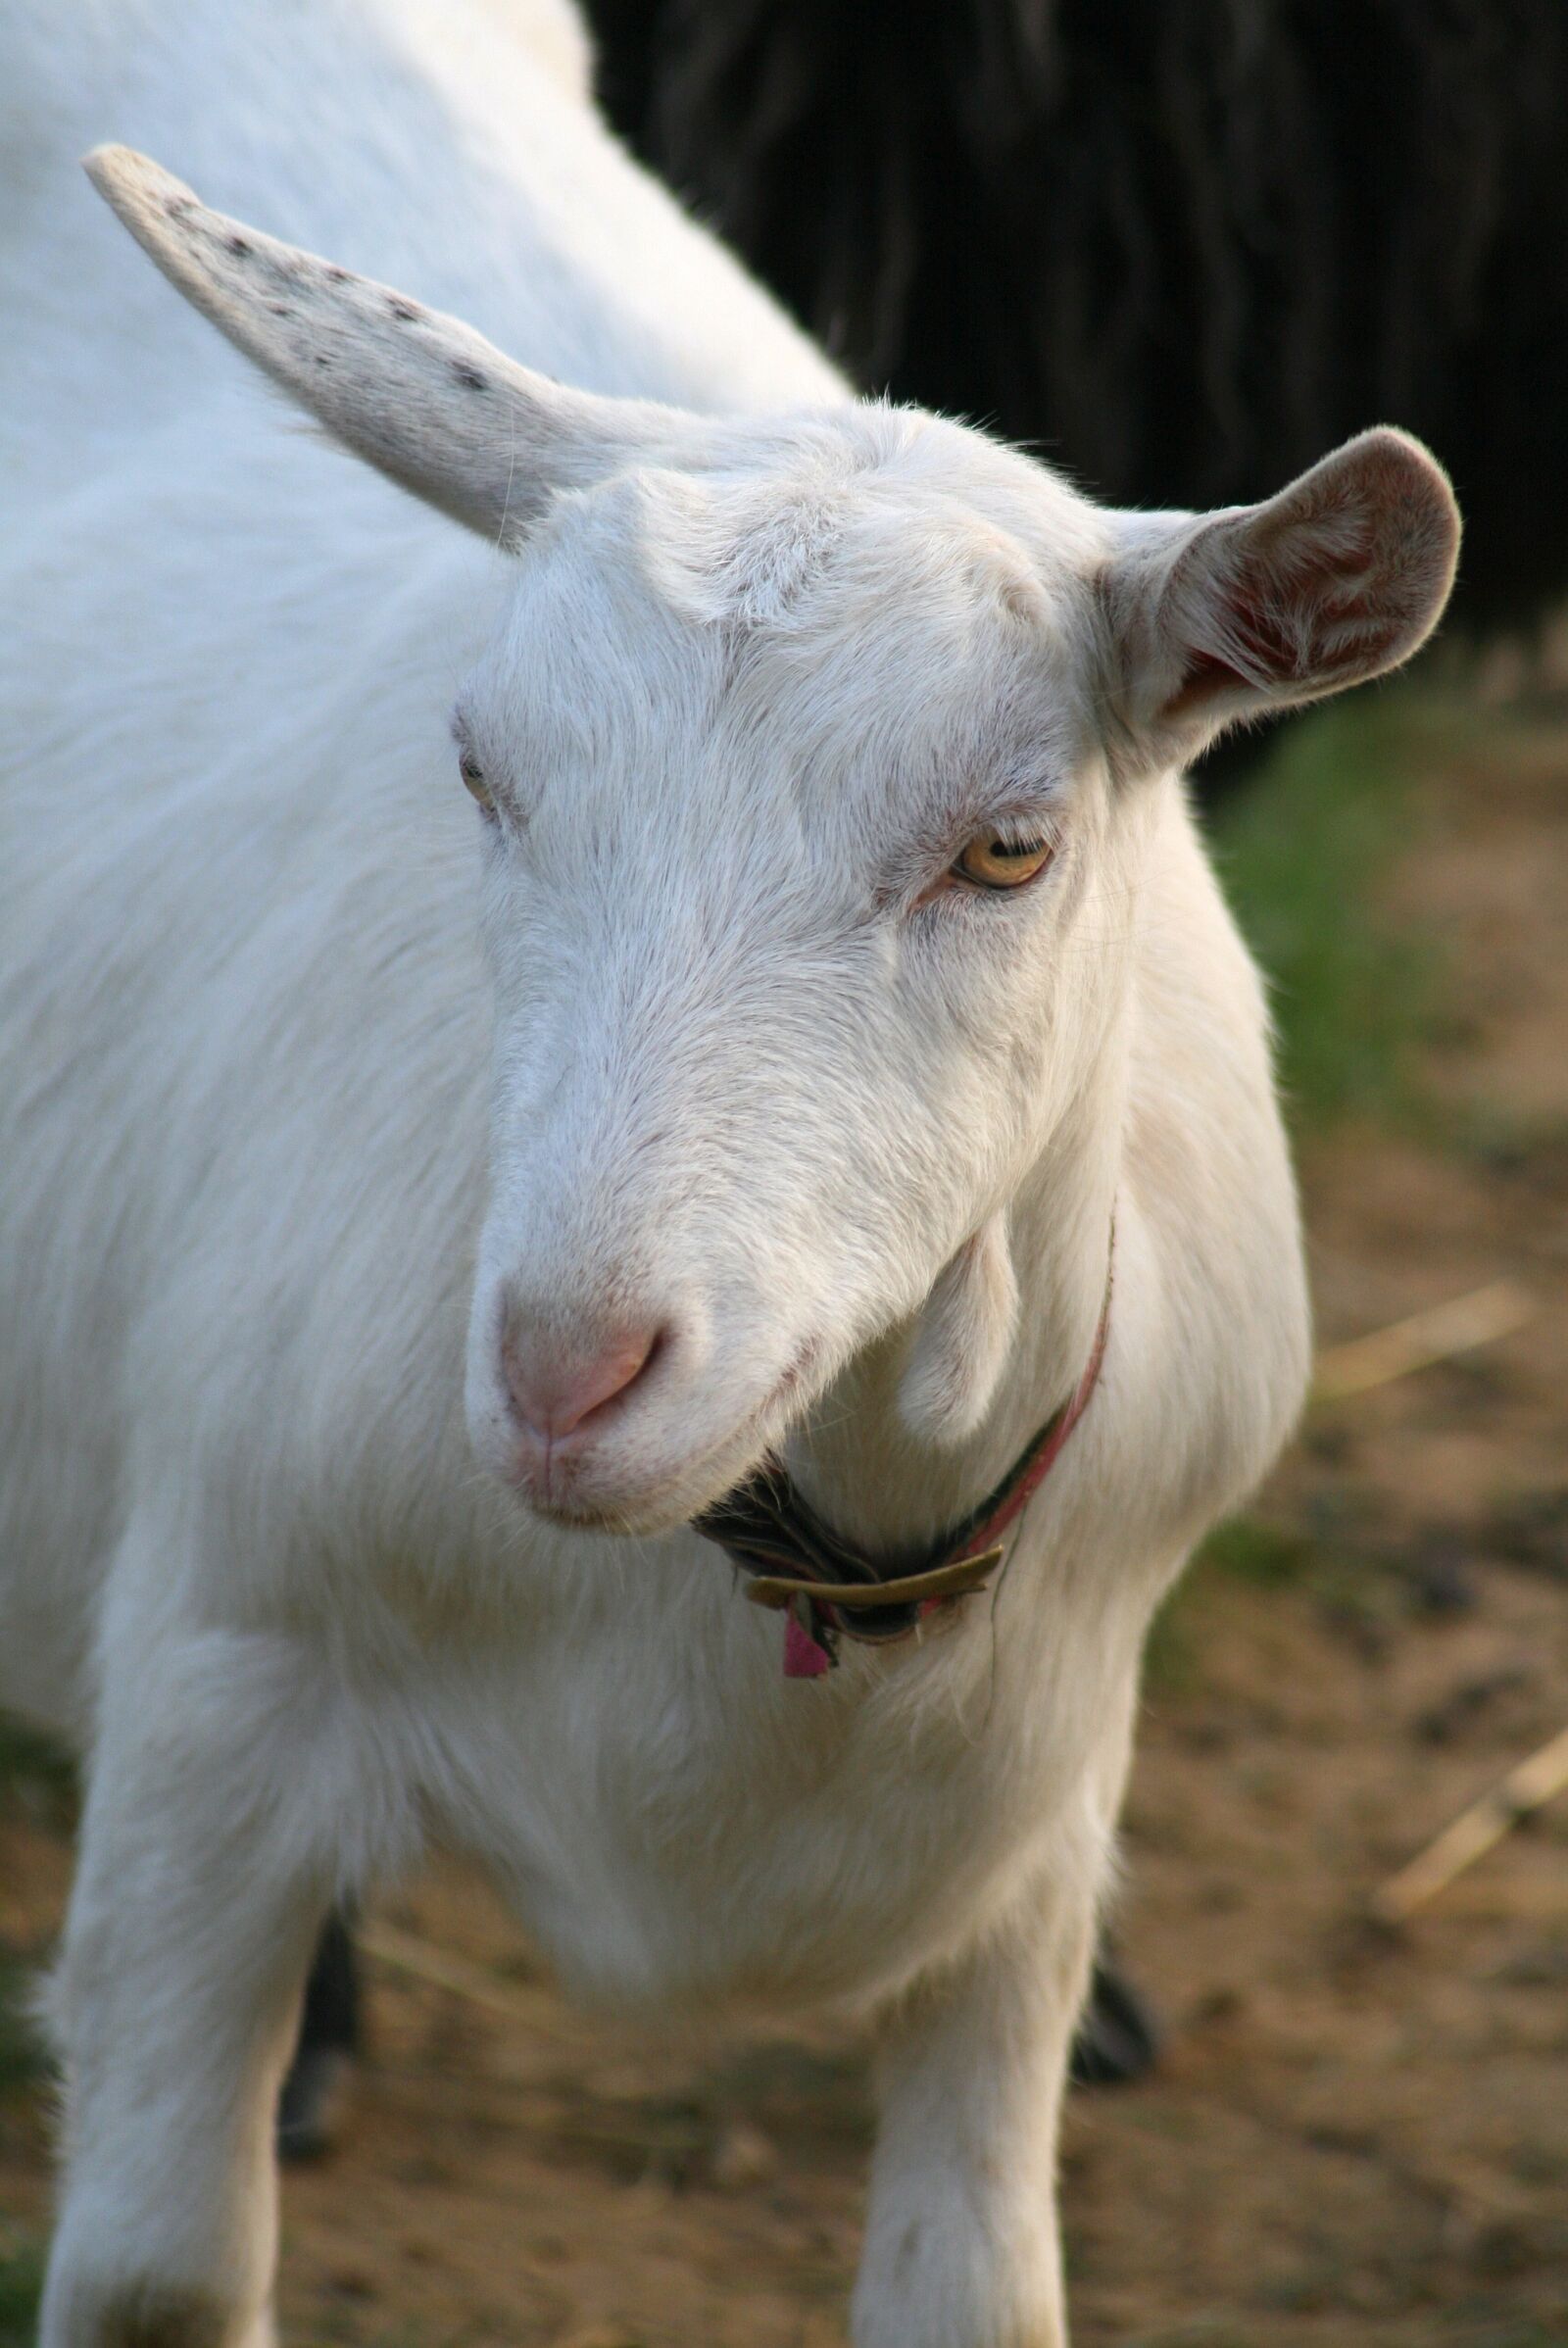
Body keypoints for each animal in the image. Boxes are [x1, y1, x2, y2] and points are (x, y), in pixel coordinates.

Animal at [0, 3, 1457, 2342]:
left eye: (1009, 845)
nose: (568, 1370)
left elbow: (974, 2286)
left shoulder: (1031, 1847)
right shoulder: (216, 1703)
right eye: (481, 770)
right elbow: (156, 2275)